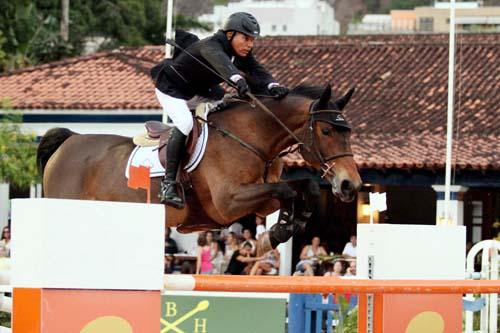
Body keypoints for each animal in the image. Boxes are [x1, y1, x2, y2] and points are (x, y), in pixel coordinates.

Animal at [37, 83, 362, 249]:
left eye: (348, 132)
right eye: (327, 131)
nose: (351, 185)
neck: (250, 136)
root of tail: (69, 142)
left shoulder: (260, 199)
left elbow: (301, 187)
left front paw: (290, 224)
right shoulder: (229, 202)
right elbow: (287, 191)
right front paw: (280, 231)